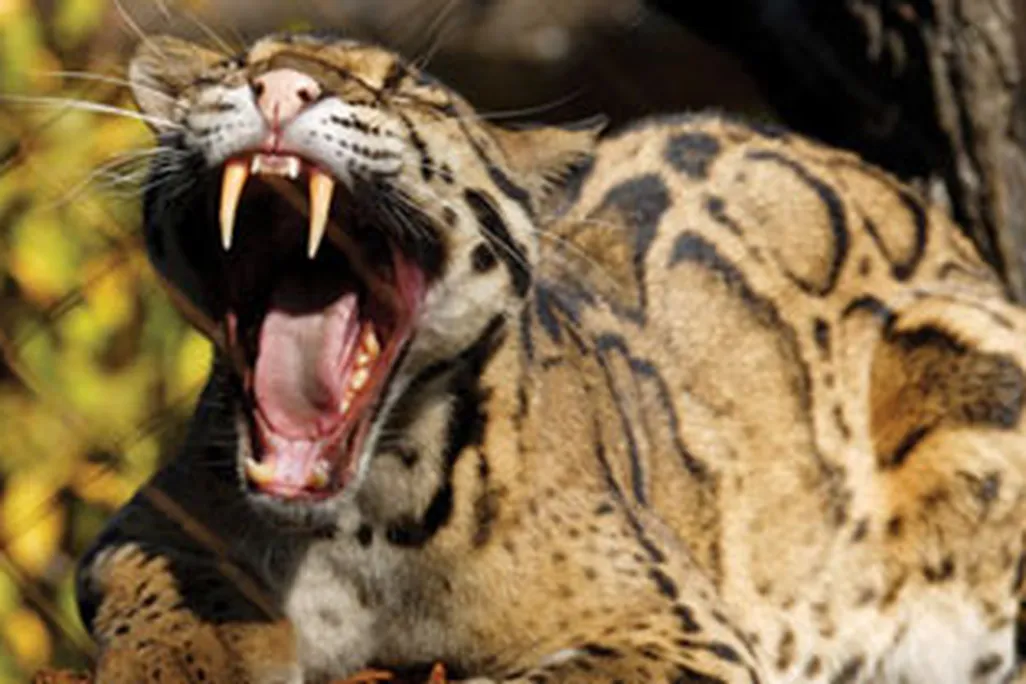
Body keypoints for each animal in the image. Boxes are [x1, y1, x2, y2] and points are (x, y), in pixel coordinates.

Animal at [75, 31, 1026, 684]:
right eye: (236, 63)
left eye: (404, 89)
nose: (277, 85)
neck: (357, 526)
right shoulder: (142, 527)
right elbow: (168, 605)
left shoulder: (681, 627)